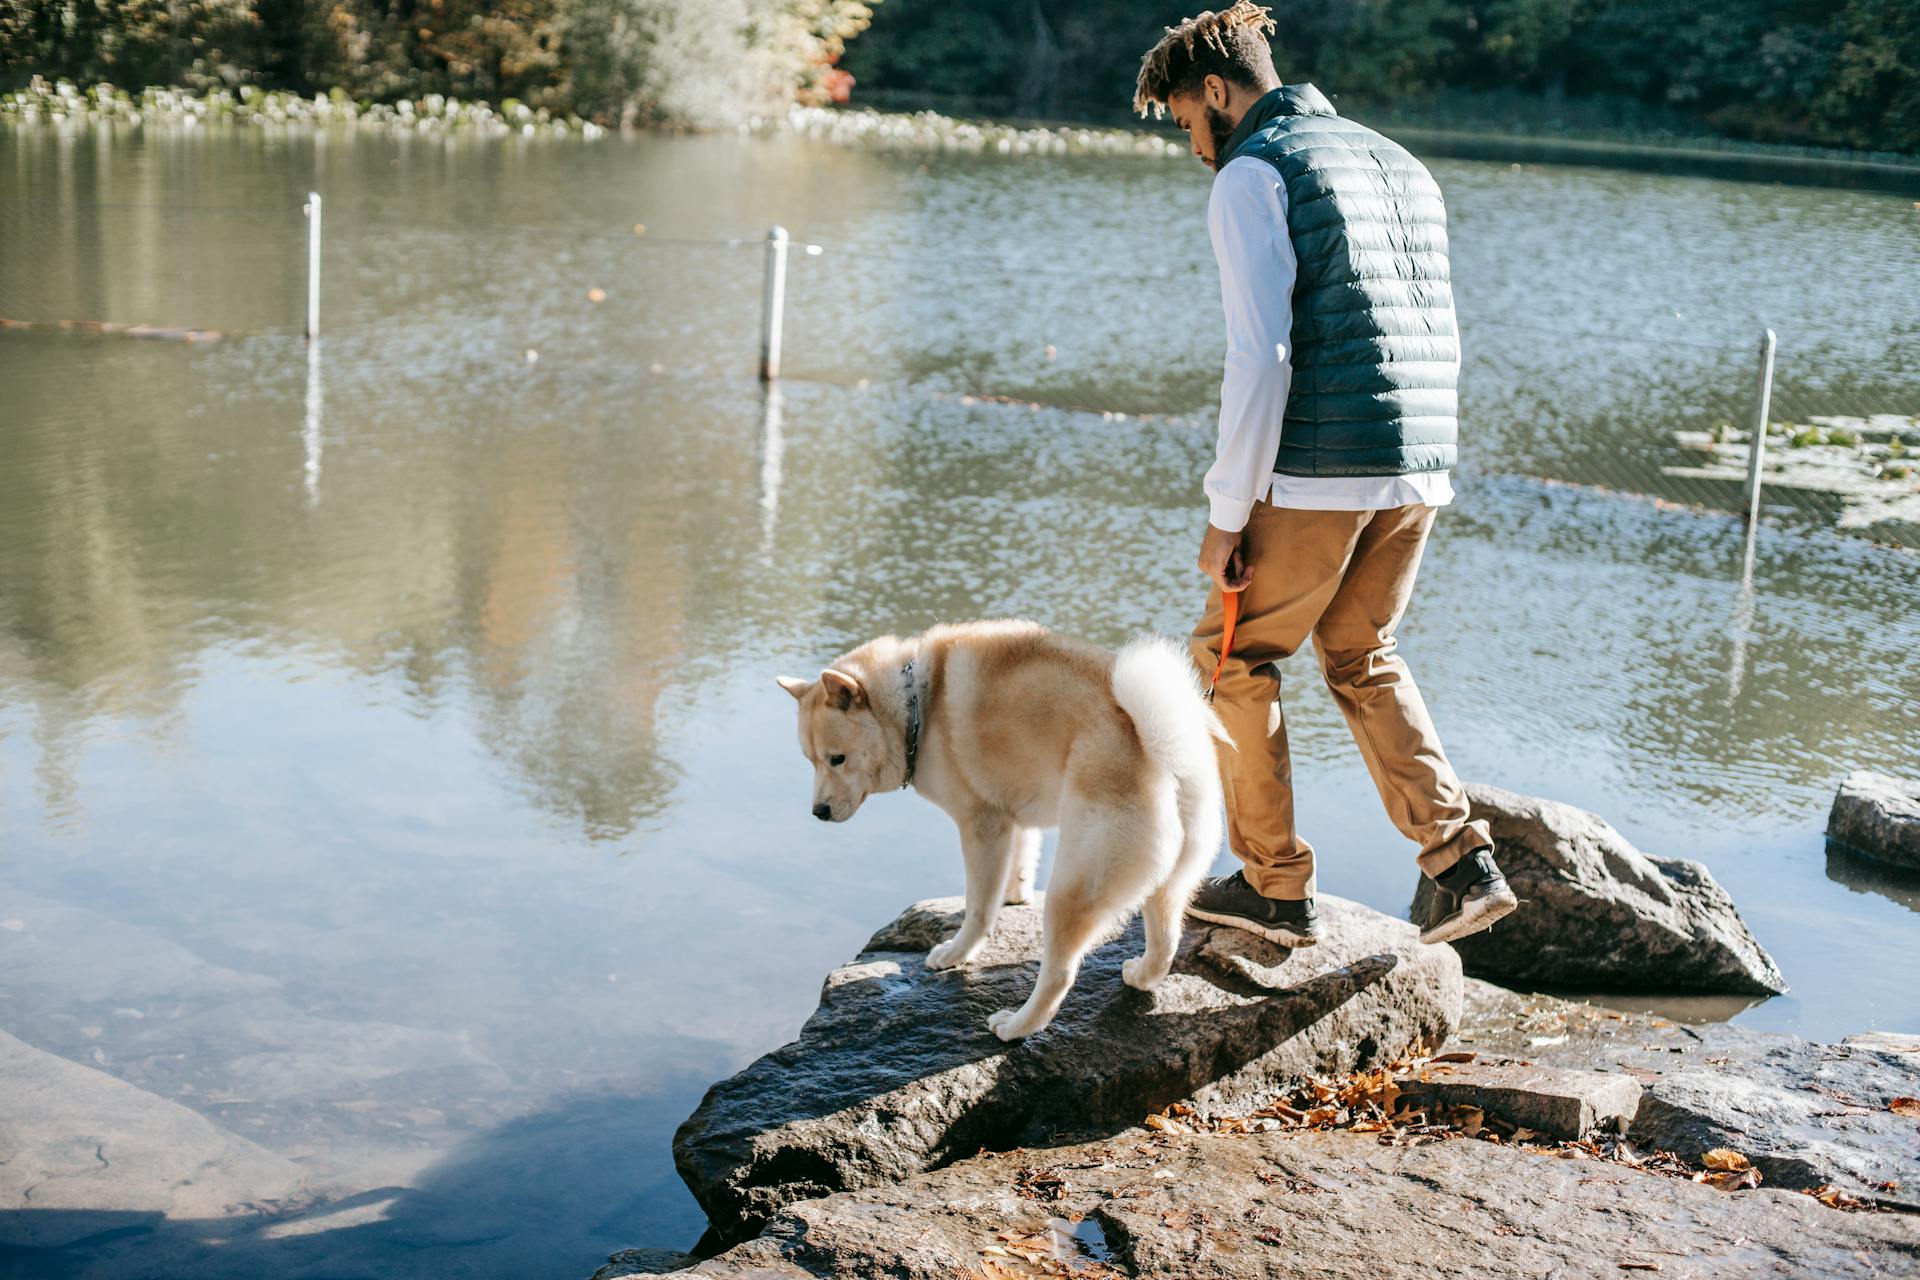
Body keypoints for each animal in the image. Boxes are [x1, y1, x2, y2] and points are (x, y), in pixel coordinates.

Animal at [771, 621, 1221, 1043]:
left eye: (837, 759)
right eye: (811, 760)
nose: (818, 812)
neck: (919, 708)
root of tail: (1161, 752)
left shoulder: (981, 825)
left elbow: (978, 908)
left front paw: (957, 951)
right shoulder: (1012, 818)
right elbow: (1021, 859)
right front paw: (1015, 894)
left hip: (1074, 888)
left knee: (1059, 974)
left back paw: (1017, 1026)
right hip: (1169, 884)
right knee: (1166, 944)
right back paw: (1141, 975)